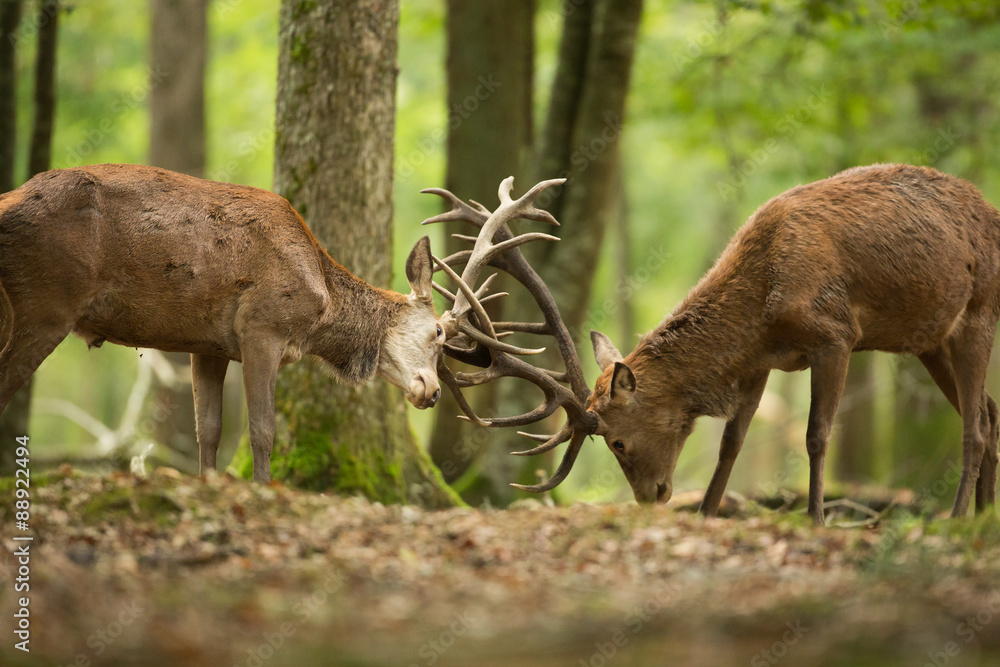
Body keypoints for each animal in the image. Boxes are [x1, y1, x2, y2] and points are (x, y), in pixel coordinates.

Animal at [0, 163, 446, 483]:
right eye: (438, 333)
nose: (434, 390)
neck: (320, 302)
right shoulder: (262, 328)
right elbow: (262, 429)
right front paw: (263, 488)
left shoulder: (208, 346)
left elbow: (209, 429)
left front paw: (209, 482)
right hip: (46, 303)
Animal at [425, 164, 1000, 525]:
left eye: (617, 442)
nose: (651, 498)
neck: (763, 307)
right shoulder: (762, 362)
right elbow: (731, 442)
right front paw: (706, 513)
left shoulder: (836, 334)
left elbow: (816, 435)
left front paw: (815, 519)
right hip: (931, 339)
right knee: (990, 413)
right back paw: (982, 517)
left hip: (980, 310)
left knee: (974, 425)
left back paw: (954, 517)